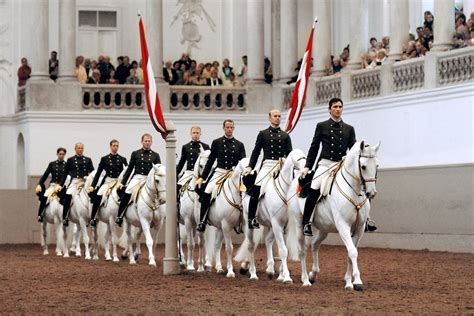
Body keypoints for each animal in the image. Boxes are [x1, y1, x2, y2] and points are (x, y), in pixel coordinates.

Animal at [235, 149, 306, 282]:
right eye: (298, 159)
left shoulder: (284, 226)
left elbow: (283, 249)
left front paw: (281, 275)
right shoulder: (277, 224)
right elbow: (283, 250)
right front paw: (286, 277)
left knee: (267, 241)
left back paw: (270, 269)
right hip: (249, 222)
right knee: (251, 245)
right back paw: (253, 273)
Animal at [286, 141, 382, 288]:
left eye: (376, 165)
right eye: (363, 166)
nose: (371, 193)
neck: (354, 191)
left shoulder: (359, 229)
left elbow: (350, 253)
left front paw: (349, 281)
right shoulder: (343, 226)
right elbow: (352, 252)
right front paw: (357, 281)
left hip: (324, 228)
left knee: (315, 245)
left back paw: (313, 275)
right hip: (299, 224)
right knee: (302, 251)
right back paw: (305, 280)